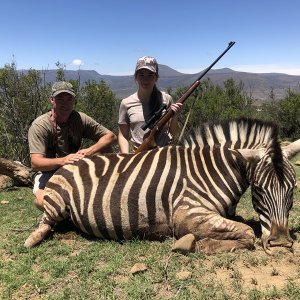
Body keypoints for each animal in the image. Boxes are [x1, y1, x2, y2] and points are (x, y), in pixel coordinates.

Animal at [24, 118, 300, 254]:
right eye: (259, 189)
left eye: (292, 189)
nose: (280, 243)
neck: (213, 169)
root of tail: (69, 162)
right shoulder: (187, 213)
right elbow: (247, 232)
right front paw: (193, 244)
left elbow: (242, 225)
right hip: (57, 204)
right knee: (45, 222)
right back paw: (32, 238)